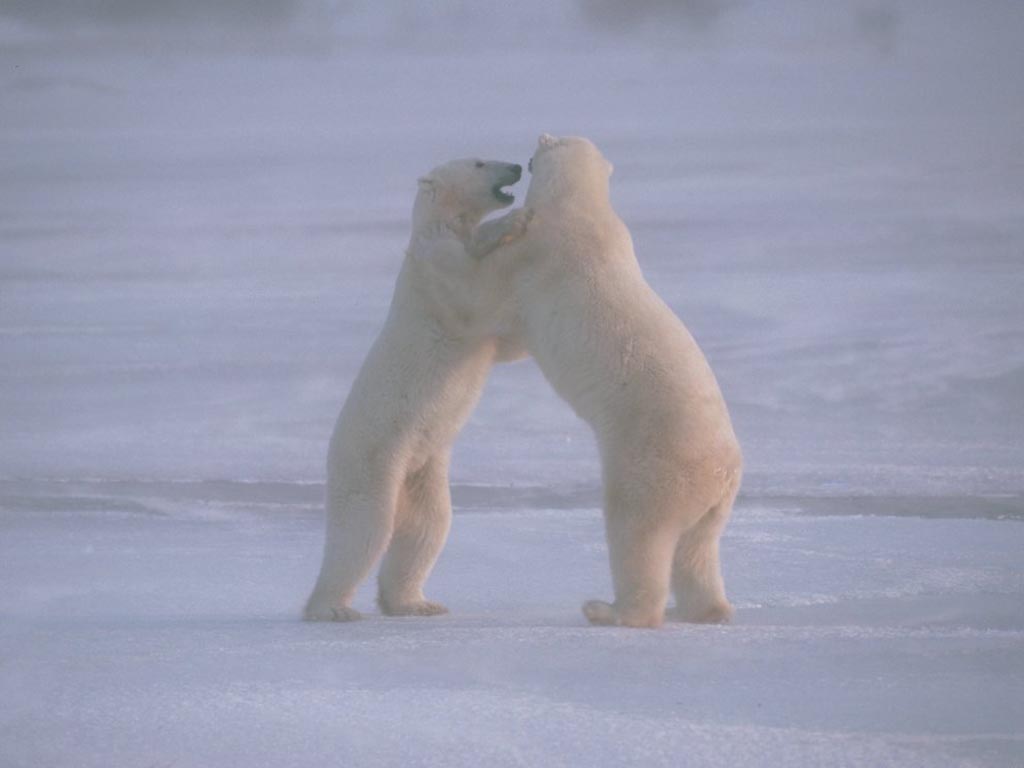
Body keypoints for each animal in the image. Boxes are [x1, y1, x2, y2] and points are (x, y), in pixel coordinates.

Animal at [301, 159, 528, 622]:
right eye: (480, 162)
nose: (515, 166)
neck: (437, 224)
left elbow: (503, 346)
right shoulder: (434, 264)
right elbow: (475, 294)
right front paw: (513, 223)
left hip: (422, 468)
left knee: (427, 527)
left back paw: (415, 602)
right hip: (372, 459)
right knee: (364, 529)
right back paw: (331, 608)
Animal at [491, 135, 741, 626]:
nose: (527, 151)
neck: (582, 207)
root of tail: (722, 472)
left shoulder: (543, 249)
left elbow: (503, 297)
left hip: (652, 467)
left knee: (637, 534)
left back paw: (608, 609)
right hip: (712, 508)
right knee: (698, 552)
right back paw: (706, 610)